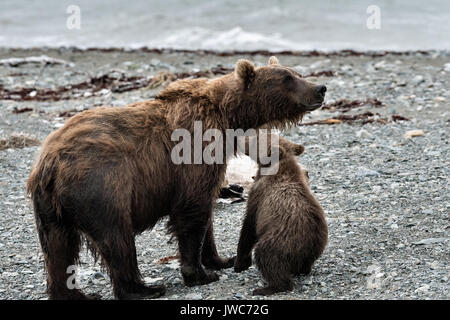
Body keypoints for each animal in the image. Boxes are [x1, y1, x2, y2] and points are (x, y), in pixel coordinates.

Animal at [26, 56, 326, 298]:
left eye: (295, 72)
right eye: (287, 78)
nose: (320, 88)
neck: (227, 116)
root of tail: (49, 162)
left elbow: (205, 215)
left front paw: (220, 259)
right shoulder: (193, 153)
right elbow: (192, 212)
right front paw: (200, 274)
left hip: (50, 208)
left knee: (58, 249)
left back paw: (75, 294)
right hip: (101, 186)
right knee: (116, 238)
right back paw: (144, 289)